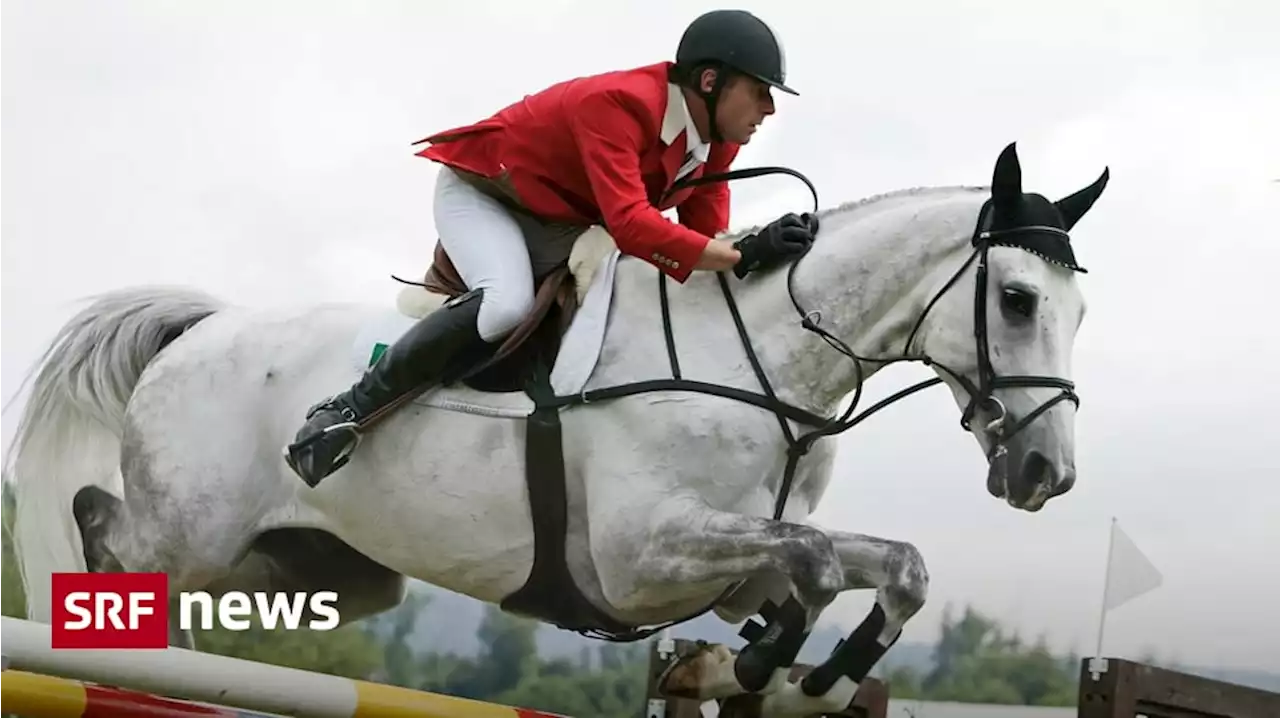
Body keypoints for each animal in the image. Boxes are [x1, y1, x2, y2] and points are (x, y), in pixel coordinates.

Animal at [7, 142, 1111, 711]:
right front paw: (774, 658)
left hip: (321, 566)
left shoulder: (718, 567)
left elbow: (883, 565)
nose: (1044, 473)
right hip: (187, 531)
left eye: (1079, 310)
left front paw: (803, 665)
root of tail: (204, 325)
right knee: (106, 530)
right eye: (1017, 299)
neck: (762, 364)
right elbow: (817, 558)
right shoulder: (641, 554)